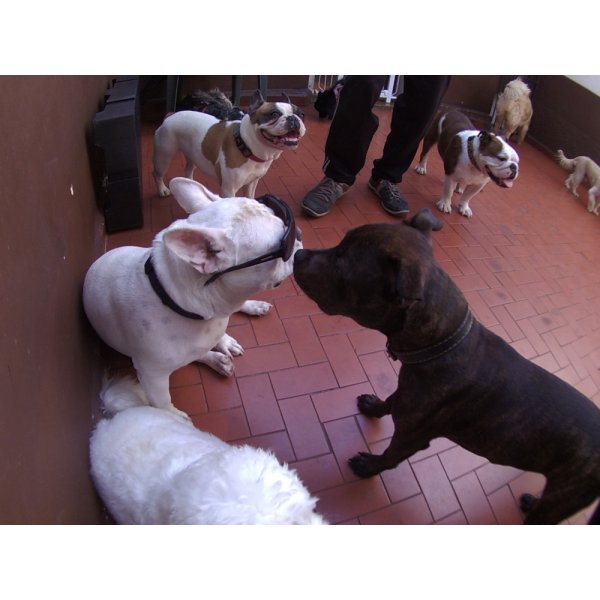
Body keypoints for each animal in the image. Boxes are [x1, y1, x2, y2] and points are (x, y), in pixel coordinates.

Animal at [152, 89, 308, 198]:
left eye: (301, 114)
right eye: (274, 114)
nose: (293, 118)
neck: (246, 146)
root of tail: (171, 115)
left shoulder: (252, 183)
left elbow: (250, 198)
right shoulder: (228, 189)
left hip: (193, 153)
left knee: (188, 169)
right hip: (164, 156)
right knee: (157, 173)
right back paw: (162, 190)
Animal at [292, 209, 600, 524]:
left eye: (342, 262)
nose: (299, 254)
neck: (442, 342)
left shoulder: (412, 437)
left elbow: (390, 457)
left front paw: (369, 466)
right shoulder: (407, 394)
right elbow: (390, 400)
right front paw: (373, 405)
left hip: (562, 497)